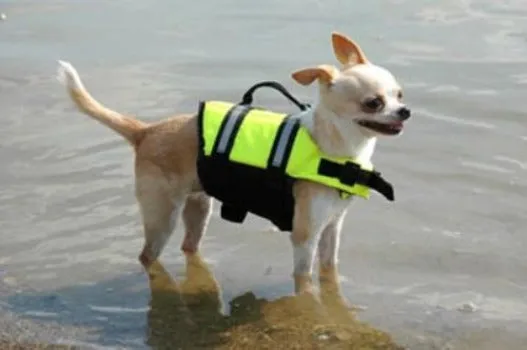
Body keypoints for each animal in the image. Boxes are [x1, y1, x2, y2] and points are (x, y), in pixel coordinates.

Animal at [55, 32, 410, 296]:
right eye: (373, 103)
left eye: (400, 95)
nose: (405, 111)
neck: (336, 149)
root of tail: (146, 131)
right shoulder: (304, 236)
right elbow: (304, 278)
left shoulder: (332, 228)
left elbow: (329, 267)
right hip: (162, 215)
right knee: (147, 254)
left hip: (198, 207)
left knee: (189, 246)